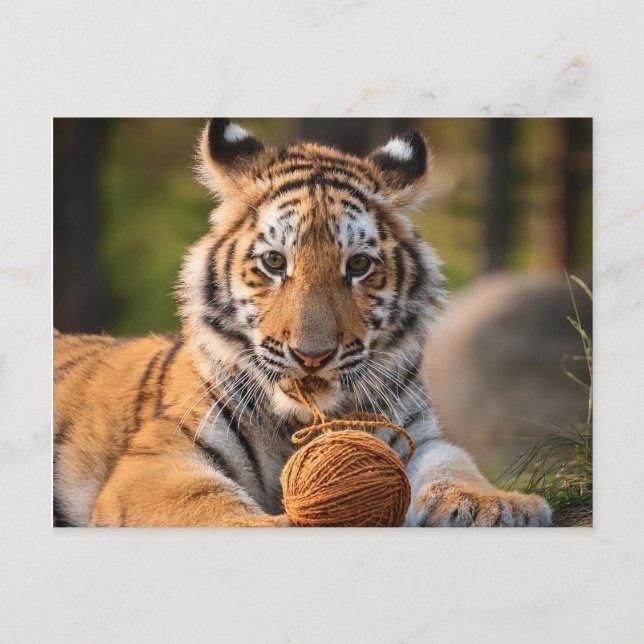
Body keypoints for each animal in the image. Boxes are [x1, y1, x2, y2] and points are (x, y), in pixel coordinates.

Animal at [53, 118, 552, 527]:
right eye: (275, 262)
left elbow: (453, 463)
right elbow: (206, 504)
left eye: (358, 265)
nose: (312, 356)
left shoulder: (416, 435)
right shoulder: (160, 458)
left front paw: (496, 506)